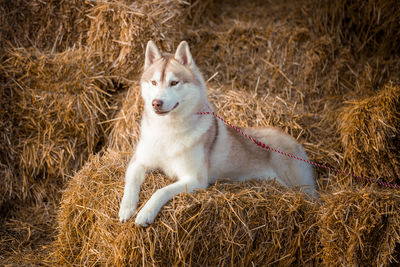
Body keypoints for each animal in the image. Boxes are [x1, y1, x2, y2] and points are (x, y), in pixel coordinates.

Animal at [117, 40, 318, 227]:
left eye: (174, 83)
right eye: (154, 82)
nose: (156, 103)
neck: (167, 130)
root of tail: (294, 140)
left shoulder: (195, 179)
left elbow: (161, 191)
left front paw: (146, 212)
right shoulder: (139, 161)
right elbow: (130, 183)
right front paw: (126, 208)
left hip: (299, 185)